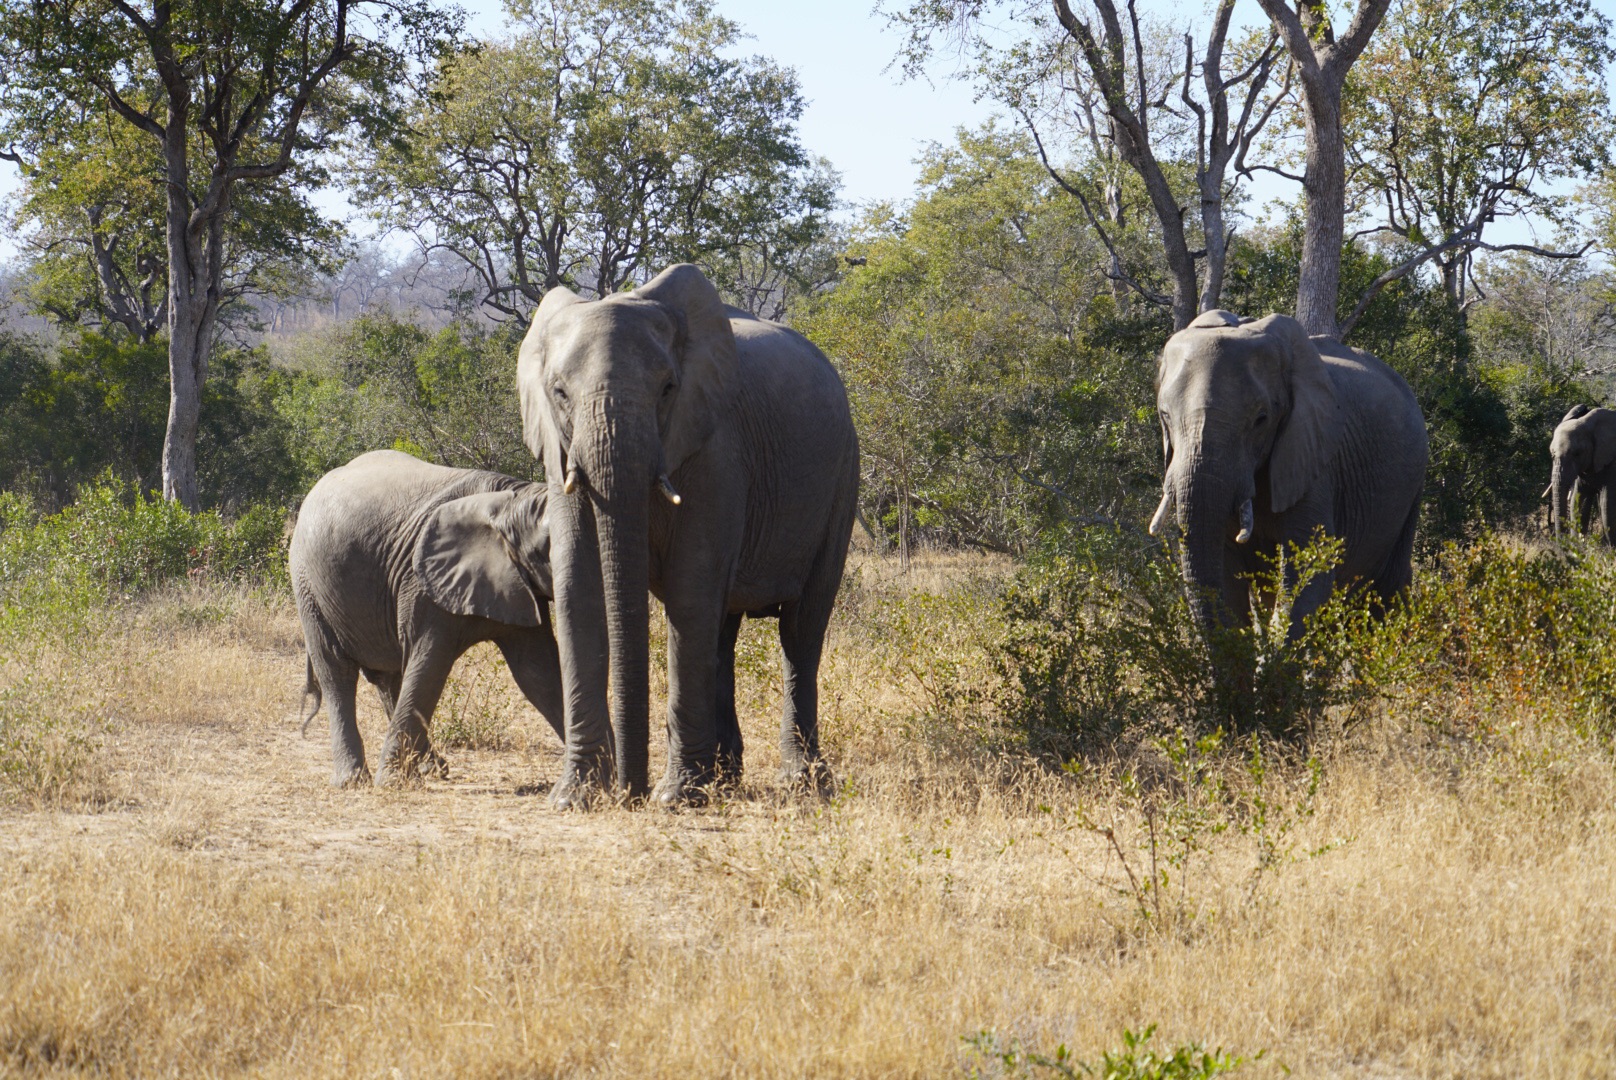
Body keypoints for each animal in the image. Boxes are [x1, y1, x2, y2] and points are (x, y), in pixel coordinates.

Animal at [289, 446, 562, 785]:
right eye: (547, 550)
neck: (513, 501)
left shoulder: (518, 583)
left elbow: (539, 673)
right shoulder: (421, 582)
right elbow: (430, 663)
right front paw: (391, 782)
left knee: (388, 676)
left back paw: (430, 768)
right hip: (308, 584)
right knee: (337, 671)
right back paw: (353, 780)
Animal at [523, 263, 866, 808]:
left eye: (668, 388)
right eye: (558, 393)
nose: (631, 794)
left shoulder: (716, 451)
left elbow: (689, 593)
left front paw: (675, 799)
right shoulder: (560, 457)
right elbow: (579, 590)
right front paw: (575, 797)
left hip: (842, 479)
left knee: (801, 629)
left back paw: (803, 784)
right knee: (723, 632)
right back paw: (725, 779)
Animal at [1150, 307, 1428, 633]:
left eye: (1261, 419)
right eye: (1165, 416)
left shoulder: (1314, 460)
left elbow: (1308, 579)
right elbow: (1225, 581)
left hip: (1413, 488)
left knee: (1386, 591)